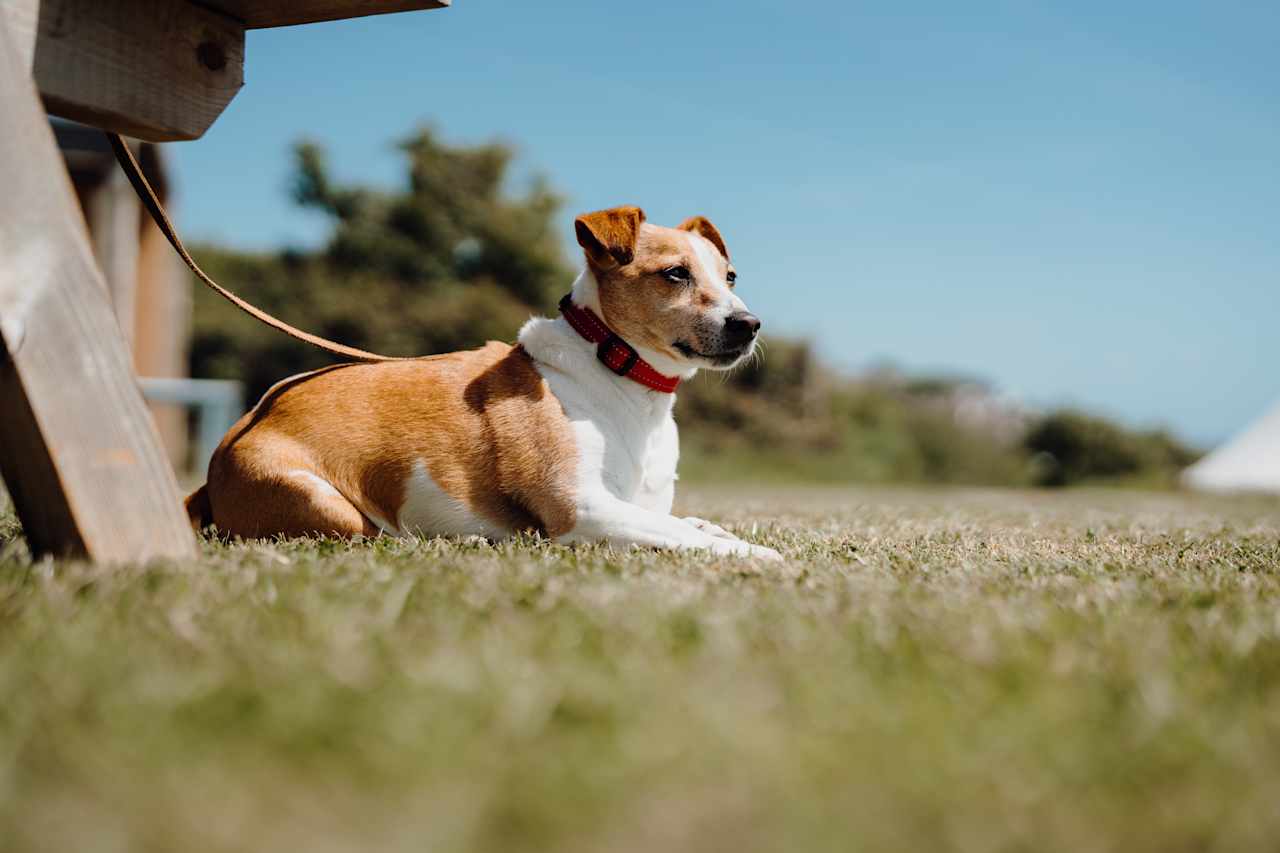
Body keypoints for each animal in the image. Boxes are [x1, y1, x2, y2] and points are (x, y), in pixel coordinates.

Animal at [181, 206, 778, 558]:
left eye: (729, 277)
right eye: (675, 274)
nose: (749, 324)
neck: (617, 370)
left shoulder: (635, 506)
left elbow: (692, 525)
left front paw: (719, 530)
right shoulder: (580, 508)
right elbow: (686, 536)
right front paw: (761, 558)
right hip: (324, 504)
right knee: (377, 540)